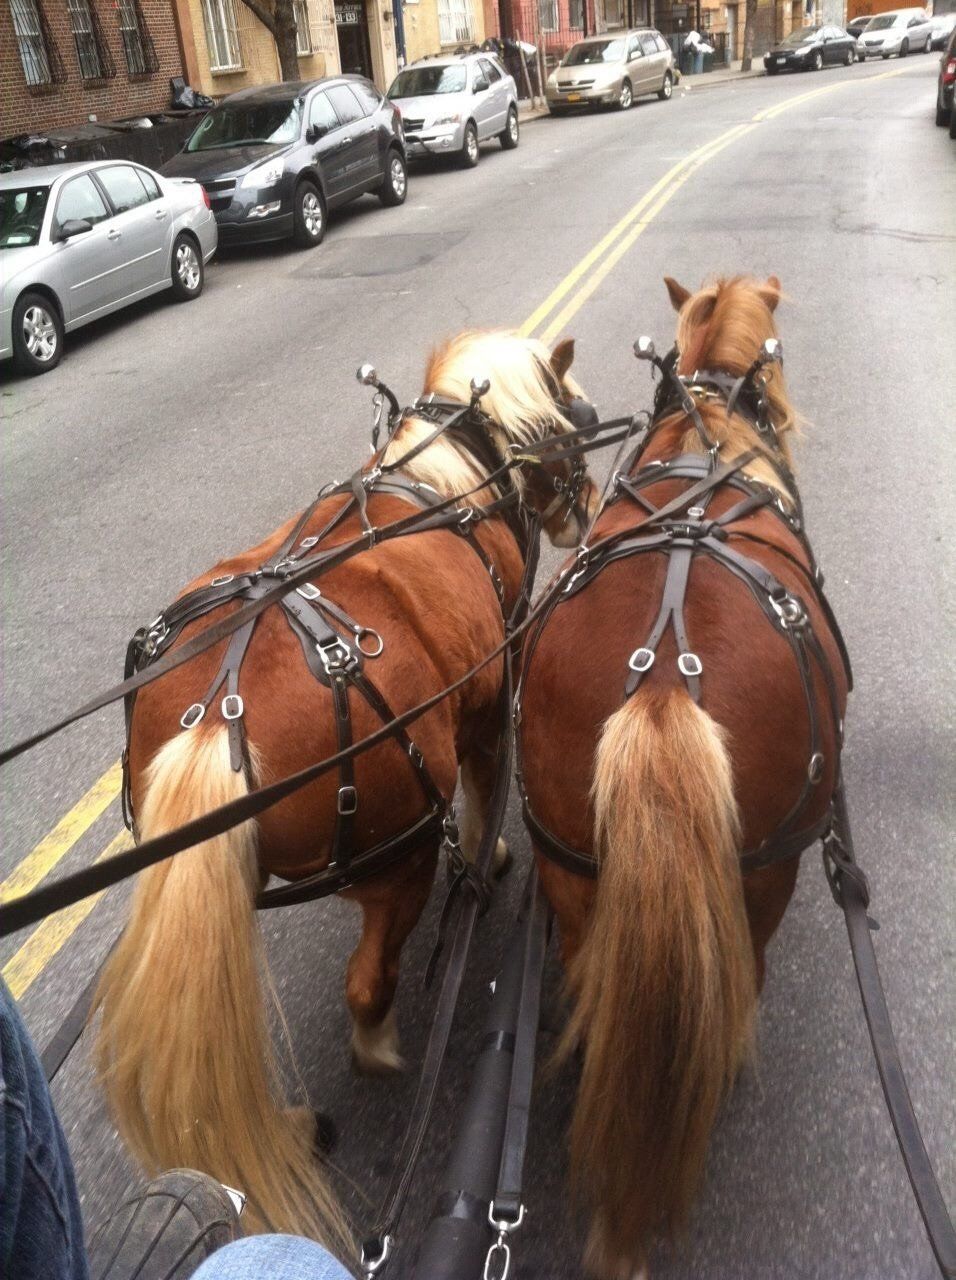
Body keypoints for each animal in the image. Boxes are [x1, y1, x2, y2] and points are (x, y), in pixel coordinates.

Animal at [92, 330, 598, 1258]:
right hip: (397, 856)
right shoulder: (492, 689)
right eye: (573, 420)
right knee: (369, 982)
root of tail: (221, 713)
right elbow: (483, 797)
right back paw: (378, 1045)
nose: (577, 515)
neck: (448, 479)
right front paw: (491, 857)